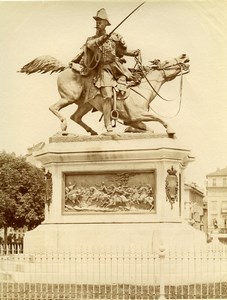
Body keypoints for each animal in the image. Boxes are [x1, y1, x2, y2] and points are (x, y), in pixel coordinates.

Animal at [19, 53, 190, 137]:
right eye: (167, 62)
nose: (184, 57)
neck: (142, 90)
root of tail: (66, 67)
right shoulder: (137, 115)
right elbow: (160, 118)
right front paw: (170, 130)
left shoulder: (132, 120)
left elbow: (148, 128)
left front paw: (134, 131)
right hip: (69, 97)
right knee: (54, 108)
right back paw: (64, 127)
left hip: (85, 104)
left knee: (76, 116)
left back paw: (93, 131)